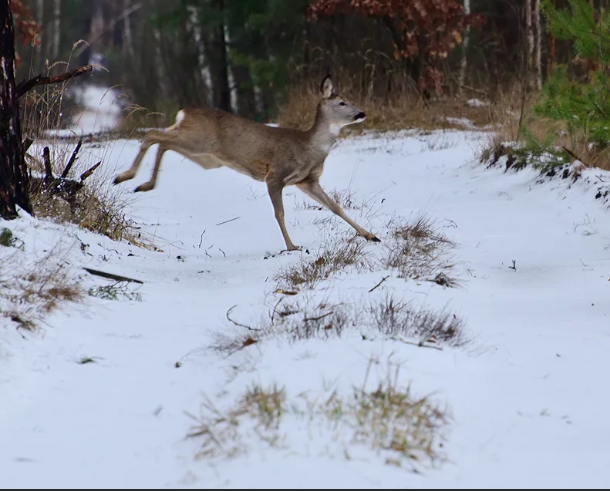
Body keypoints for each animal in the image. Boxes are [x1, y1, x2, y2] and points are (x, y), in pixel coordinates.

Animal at [112, 77, 378, 254]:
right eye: (342, 103)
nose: (362, 113)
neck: (309, 147)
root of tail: (183, 112)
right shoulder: (275, 175)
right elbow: (280, 213)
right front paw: (291, 246)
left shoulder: (307, 181)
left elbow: (335, 207)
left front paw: (370, 235)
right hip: (197, 141)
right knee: (153, 135)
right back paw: (126, 177)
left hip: (202, 153)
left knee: (161, 140)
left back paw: (142, 183)